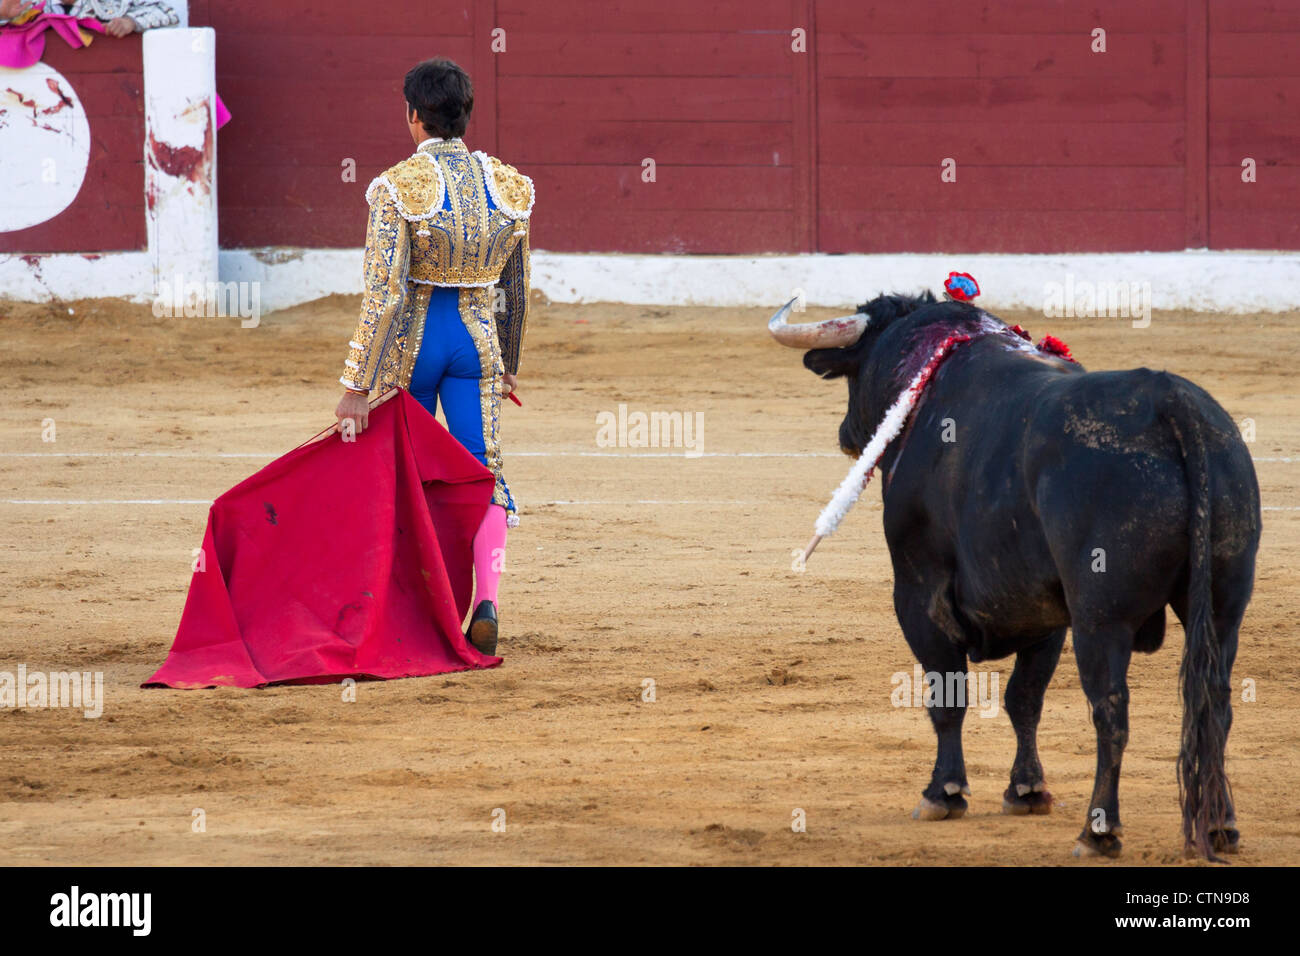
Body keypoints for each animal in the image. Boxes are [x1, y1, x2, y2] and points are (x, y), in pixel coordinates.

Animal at [790, 291, 1258, 858]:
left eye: (855, 373)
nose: (845, 434)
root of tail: (1173, 402)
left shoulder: (919, 593)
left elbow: (948, 695)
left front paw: (942, 793)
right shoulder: (1047, 613)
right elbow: (1024, 699)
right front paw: (1027, 789)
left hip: (1102, 619)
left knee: (1111, 711)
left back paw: (1099, 831)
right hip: (1223, 608)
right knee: (1217, 702)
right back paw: (1221, 826)